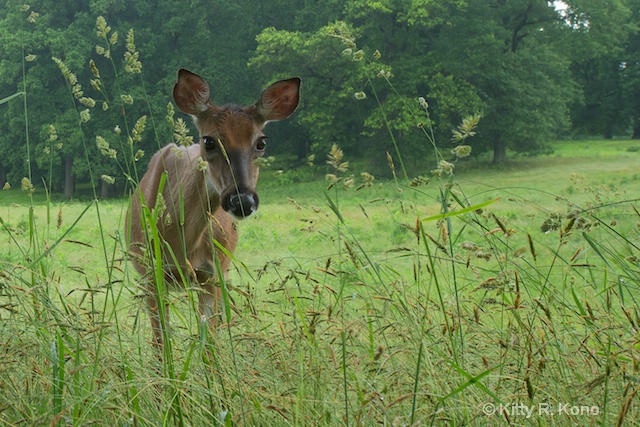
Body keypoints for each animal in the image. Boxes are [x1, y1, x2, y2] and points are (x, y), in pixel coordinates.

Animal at [127, 67, 302, 348]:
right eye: (208, 140)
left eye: (261, 142)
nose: (242, 200)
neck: (182, 244)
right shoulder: (151, 273)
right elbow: (161, 342)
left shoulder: (213, 273)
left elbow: (208, 344)